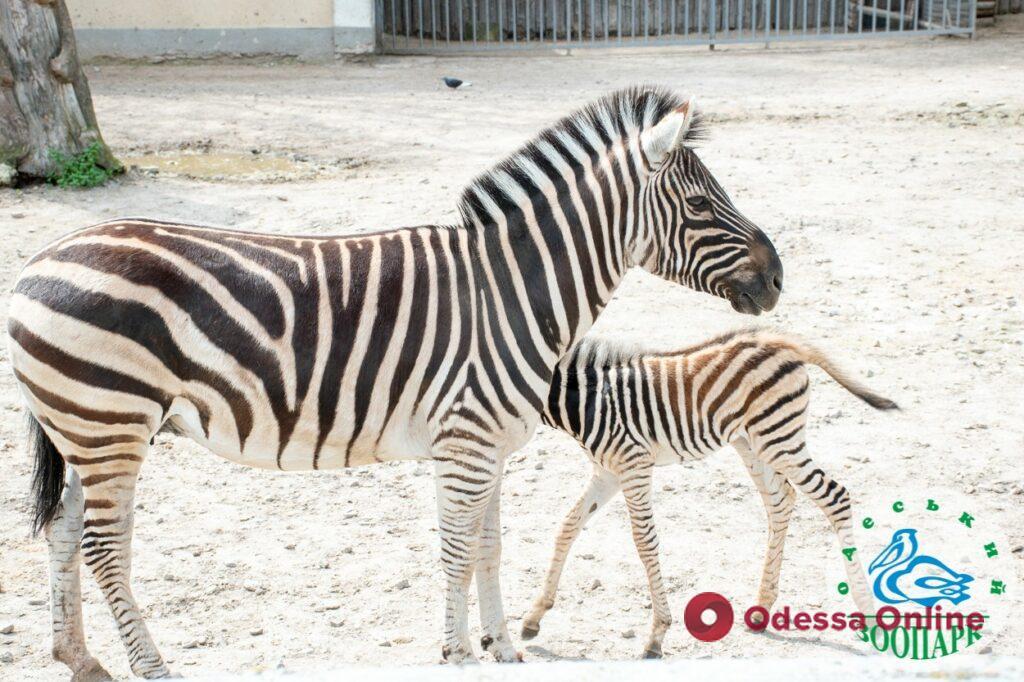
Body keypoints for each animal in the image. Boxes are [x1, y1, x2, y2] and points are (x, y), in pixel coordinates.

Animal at [524, 327, 892, 655]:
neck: (588, 402)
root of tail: (778, 341)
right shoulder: (607, 473)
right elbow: (568, 526)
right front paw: (534, 616)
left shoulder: (633, 465)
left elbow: (644, 541)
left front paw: (657, 635)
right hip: (753, 442)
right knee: (781, 501)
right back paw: (762, 607)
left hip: (779, 437)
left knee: (835, 497)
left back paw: (868, 615)